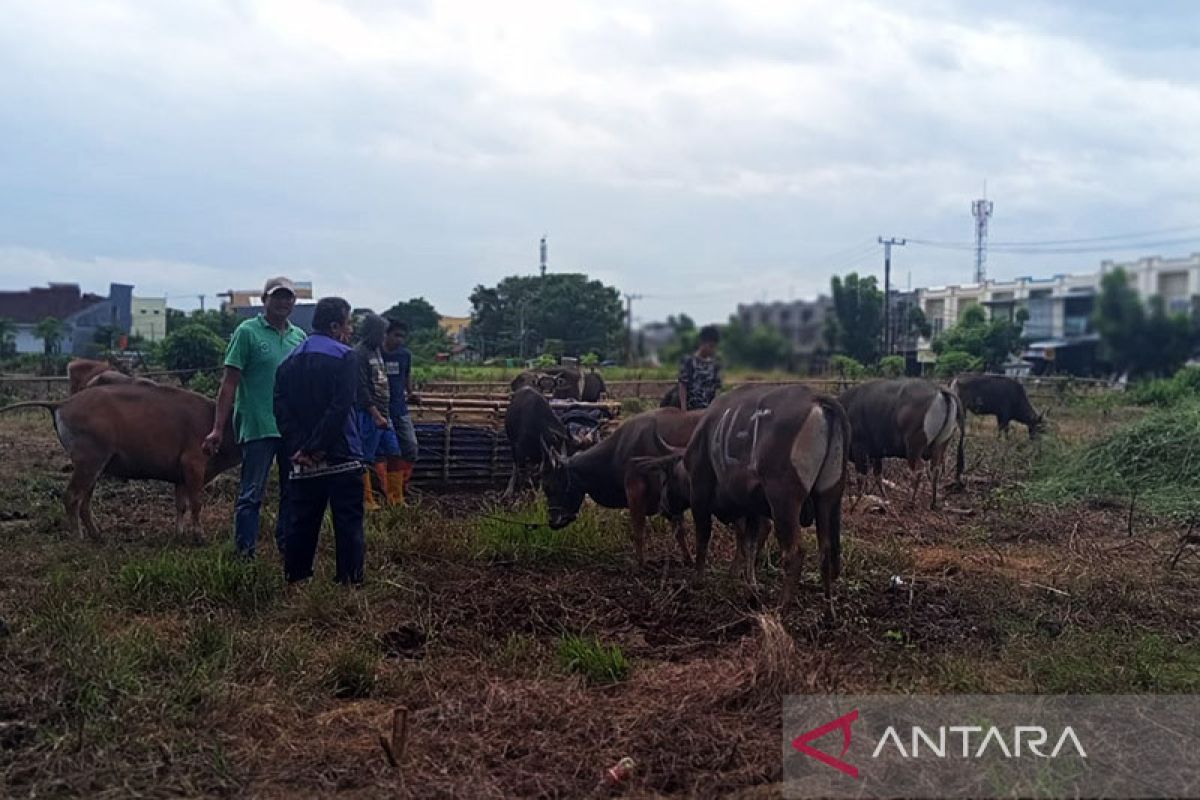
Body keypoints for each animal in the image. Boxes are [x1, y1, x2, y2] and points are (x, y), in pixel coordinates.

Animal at [0, 381, 243, 537]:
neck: (216, 423)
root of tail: (62, 403)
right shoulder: (193, 466)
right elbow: (196, 503)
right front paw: (199, 536)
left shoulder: (180, 476)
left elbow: (181, 506)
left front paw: (179, 534)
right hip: (89, 463)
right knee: (72, 497)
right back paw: (78, 537)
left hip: (95, 466)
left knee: (84, 501)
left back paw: (97, 534)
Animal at [676, 383, 854, 609]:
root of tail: (817, 398)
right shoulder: (752, 508)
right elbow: (749, 545)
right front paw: (750, 588)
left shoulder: (700, 491)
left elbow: (704, 536)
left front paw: (698, 582)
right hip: (827, 497)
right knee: (825, 551)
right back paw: (828, 611)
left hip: (784, 500)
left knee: (794, 552)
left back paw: (781, 608)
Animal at [835, 379, 964, 510]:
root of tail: (939, 389)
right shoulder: (876, 454)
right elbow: (878, 475)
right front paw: (884, 498)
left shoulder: (860, 449)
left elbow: (862, 477)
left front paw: (858, 500)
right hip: (940, 446)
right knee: (935, 470)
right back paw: (933, 503)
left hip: (913, 447)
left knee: (919, 469)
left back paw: (911, 501)